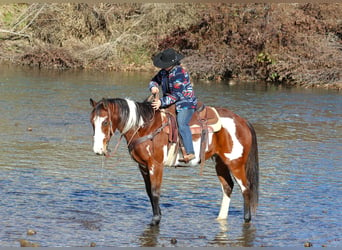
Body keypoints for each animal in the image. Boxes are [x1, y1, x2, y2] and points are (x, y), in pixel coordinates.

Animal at [89, 97, 258, 227]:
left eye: (105, 122)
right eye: (92, 122)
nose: (98, 149)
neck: (145, 127)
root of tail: (243, 121)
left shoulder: (155, 165)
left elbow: (155, 192)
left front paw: (155, 220)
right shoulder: (142, 167)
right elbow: (149, 192)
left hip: (235, 163)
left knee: (245, 188)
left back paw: (247, 219)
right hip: (220, 162)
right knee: (227, 187)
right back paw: (220, 218)